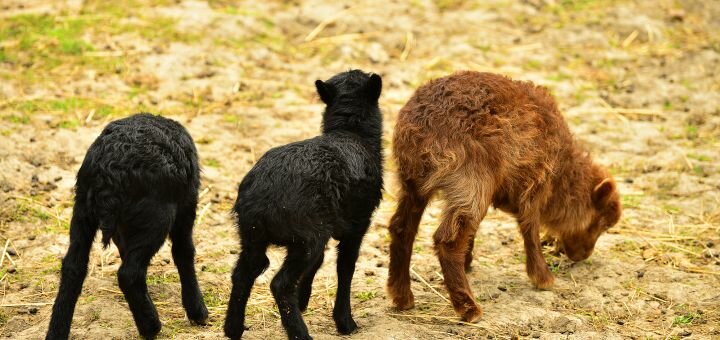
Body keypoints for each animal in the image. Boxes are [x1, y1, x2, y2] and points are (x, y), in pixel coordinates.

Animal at [45, 113, 208, 338]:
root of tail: (108, 171)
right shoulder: (187, 205)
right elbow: (184, 252)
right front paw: (197, 311)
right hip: (156, 216)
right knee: (129, 273)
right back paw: (151, 326)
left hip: (82, 209)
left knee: (73, 267)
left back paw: (56, 332)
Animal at [225, 70, 386, 338]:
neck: (351, 132)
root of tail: (261, 199)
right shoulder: (358, 223)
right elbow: (345, 267)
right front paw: (345, 322)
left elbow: (319, 262)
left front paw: (304, 299)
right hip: (306, 235)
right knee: (280, 283)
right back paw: (300, 332)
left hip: (254, 234)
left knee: (243, 273)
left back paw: (233, 328)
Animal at [386, 71, 620, 322]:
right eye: (602, 223)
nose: (583, 255)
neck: (563, 174)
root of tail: (420, 127)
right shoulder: (536, 181)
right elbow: (530, 229)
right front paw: (543, 278)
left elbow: (473, 232)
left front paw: (467, 261)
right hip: (471, 177)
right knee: (447, 240)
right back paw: (468, 308)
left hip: (412, 180)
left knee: (401, 228)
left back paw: (402, 297)